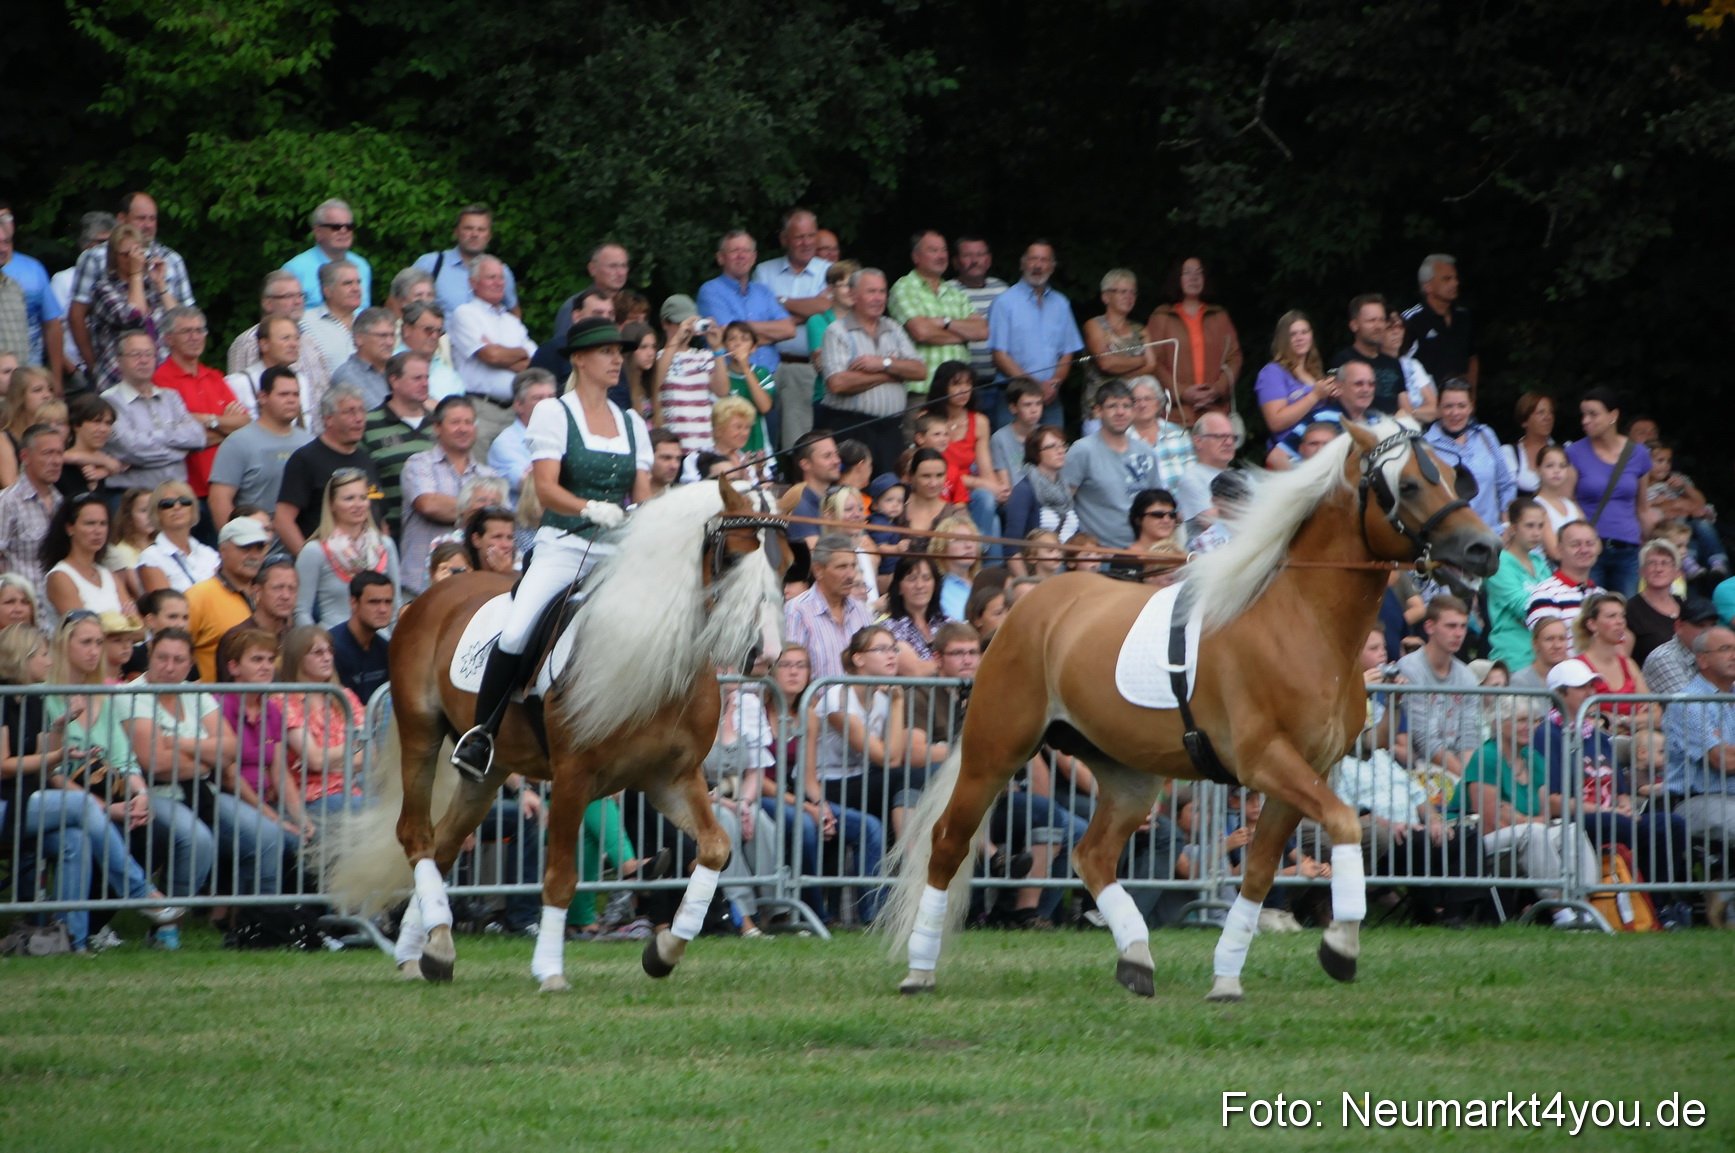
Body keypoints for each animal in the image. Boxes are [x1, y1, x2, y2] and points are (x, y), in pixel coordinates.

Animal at [324, 478, 790, 992]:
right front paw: (550, 971)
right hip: (420, 732)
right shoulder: (574, 778)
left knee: (444, 843)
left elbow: (716, 849)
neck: (653, 655)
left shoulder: (671, 779)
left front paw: (664, 950)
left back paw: (426, 951)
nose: (766, 653)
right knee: (416, 835)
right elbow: (561, 878)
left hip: (488, 771)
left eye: (788, 562)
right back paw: (435, 943)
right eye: (732, 557)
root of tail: (431, 596)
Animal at [879, 417, 1502, 1001]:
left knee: (1093, 855)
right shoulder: (1265, 761)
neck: (1301, 621)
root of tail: (1033, 604)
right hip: (996, 752)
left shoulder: (1303, 774)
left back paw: (1135, 958)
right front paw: (1340, 946)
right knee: (948, 842)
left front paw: (1227, 977)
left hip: (1128, 774)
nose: (1485, 550)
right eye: (1410, 484)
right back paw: (917, 971)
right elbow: (1347, 823)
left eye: (1454, 479)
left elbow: (1259, 872)